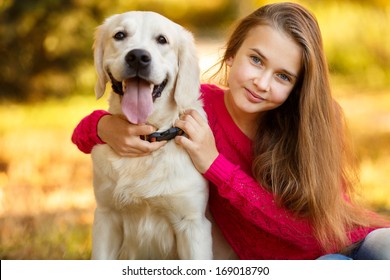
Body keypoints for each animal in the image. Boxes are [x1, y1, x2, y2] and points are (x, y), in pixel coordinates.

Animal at [91, 11, 212, 260]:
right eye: (119, 35)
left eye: (162, 40)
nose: (138, 57)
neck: (148, 135)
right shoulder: (106, 217)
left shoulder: (193, 225)